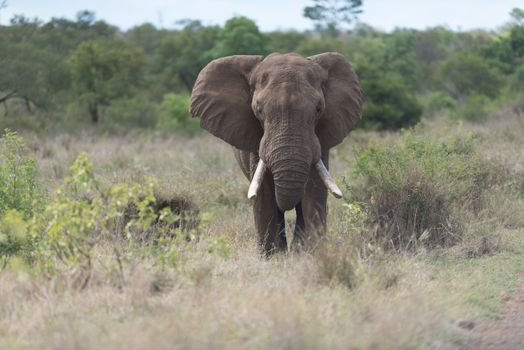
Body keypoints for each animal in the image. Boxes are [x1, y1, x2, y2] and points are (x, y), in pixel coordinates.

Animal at [189, 52, 364, 254]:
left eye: (319, 109)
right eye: (258, 110)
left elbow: (314, 190)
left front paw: (309, 254)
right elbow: (264, 195)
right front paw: (273, 256)